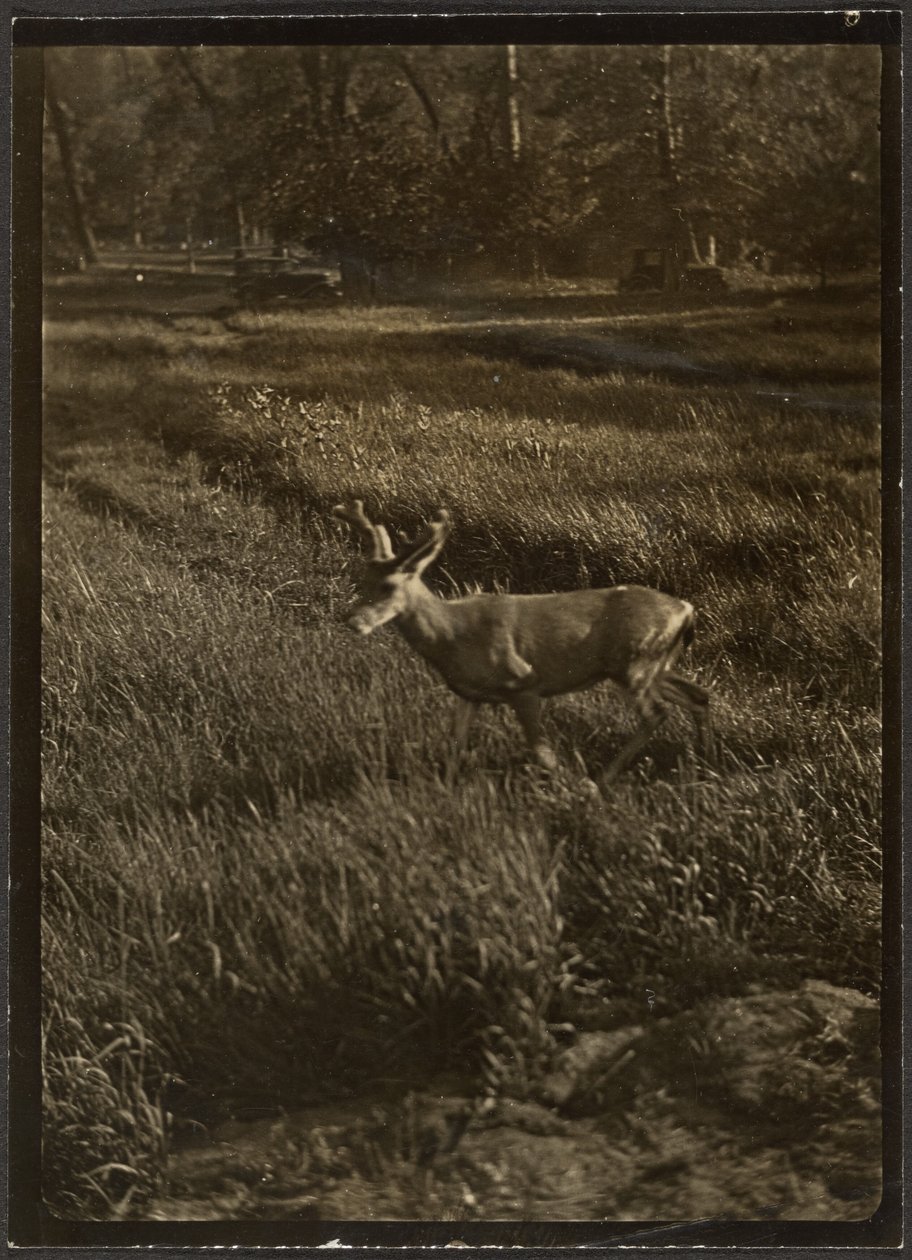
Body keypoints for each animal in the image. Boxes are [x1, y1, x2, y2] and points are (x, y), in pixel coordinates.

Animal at [333, 500, 711, 788]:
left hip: (634, 663)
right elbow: (454, 744)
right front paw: (445, 789)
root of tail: (687, 610)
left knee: (657, 712)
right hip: (655, 664)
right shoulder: (469, 693)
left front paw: (575, 786)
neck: (452, 635)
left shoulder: (523, 681)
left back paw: (604, 779)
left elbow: (540, 751)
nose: (353, 621)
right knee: (698, 695)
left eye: (388, 587)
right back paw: (702, 765)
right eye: (363, 580)